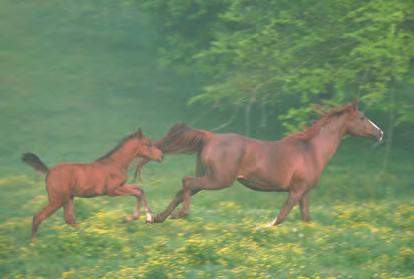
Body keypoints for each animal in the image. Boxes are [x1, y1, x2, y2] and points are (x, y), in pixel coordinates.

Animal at [21, 129, 163, 241]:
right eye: (148, 144)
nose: (161, 156)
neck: (115, 164)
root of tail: (49, 171)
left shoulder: (121, 187)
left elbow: (140, 190)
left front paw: (147, 218)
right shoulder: (112, 191)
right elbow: (137, 192)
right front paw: (133, 218)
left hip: (68, 198)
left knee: (69, 218)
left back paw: (86, 236)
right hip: (57, 200)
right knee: (38, 216)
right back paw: (33, 245)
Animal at [137, 101, 384, 226]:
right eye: (362, 118)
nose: (379, 133)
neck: (311, 151)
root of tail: (211, 137)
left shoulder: (304, 193)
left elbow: (306, 219)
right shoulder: (295, 191)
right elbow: (280, 218)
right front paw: (262, 229)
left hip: (208, 177)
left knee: (182, 190)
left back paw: (159, 218)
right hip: (219, 180)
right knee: (186, 182)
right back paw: (181, 215)